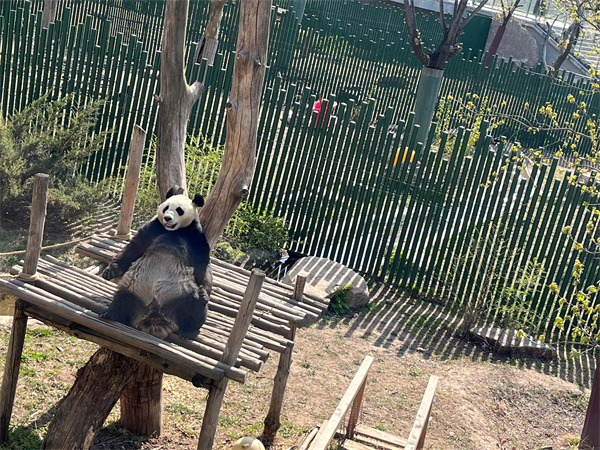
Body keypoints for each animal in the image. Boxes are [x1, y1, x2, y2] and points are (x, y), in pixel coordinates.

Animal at [99, 185, 211, 340]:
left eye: (179, 210)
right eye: (166, 207)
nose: (167, 218)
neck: (174, 231)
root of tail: (155, 316)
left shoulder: (195, 237)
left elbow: (201, 265)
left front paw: (204, 291)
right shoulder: (154, 229)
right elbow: (135, 248)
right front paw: (111, 271)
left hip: (181, 292)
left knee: (194, 307)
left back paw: (189, 331)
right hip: (135, 289)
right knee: (123, 300)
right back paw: (110, 314)